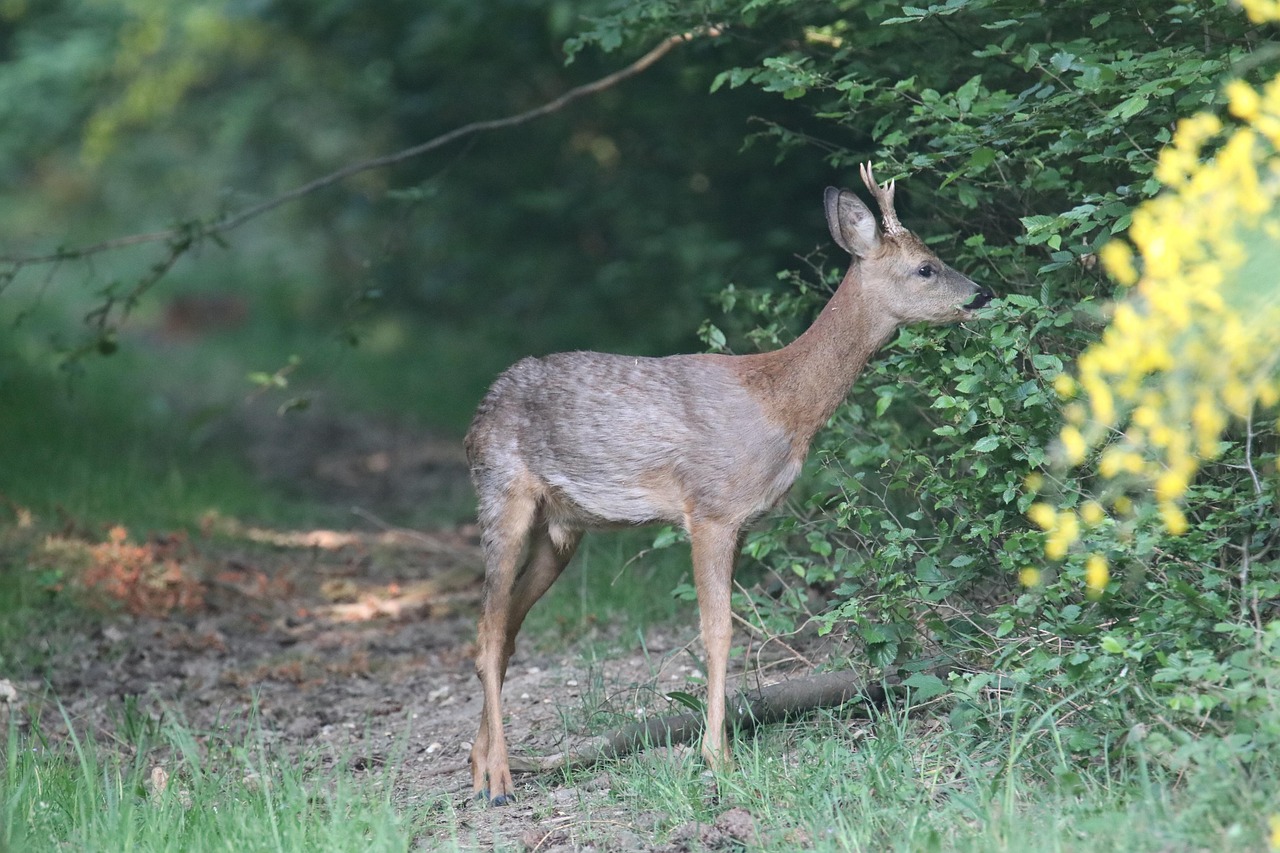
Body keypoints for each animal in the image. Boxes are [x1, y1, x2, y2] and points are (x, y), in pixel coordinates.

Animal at [464, 163, 992, 805]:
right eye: (925, 267)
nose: (982, 294)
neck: (782, 406)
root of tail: (478, 414)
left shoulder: (741, 520)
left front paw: (717, 752)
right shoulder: (710, 508)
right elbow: (717, 633)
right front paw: (717, 759)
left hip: (561, 528)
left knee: (507, 628)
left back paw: (479, 764)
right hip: (501, 492)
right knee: (488, 629)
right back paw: (498, 779)